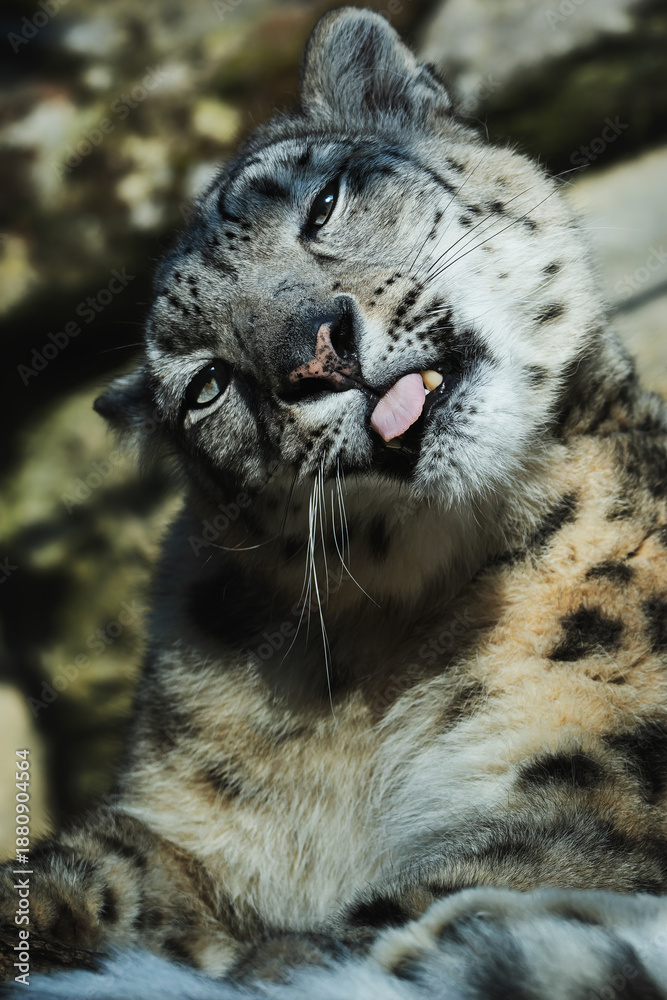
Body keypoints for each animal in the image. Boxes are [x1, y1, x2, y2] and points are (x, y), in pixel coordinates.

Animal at [2, 8, 667, 999]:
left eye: (322, 202)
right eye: (206, 385)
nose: (315, 353)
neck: (383, 650)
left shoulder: (603, 767)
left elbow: (481, 872)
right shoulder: (182, 832)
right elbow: (94, 871)